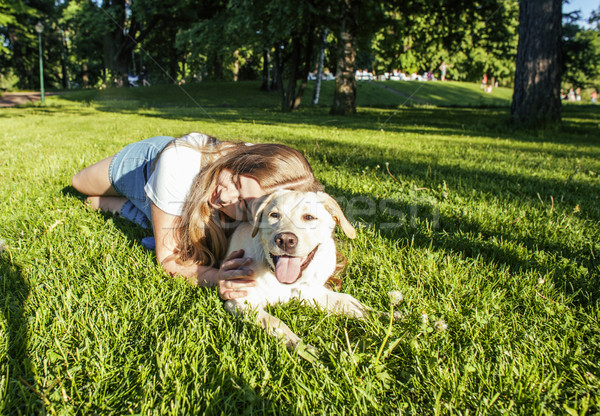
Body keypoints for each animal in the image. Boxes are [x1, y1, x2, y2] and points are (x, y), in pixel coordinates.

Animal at [223, 191, 368, 352]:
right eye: (274, 215)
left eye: (309, 217)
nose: (285, 240)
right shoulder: (241, 300)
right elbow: (275, 322)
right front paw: (301, 346)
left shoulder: (308, 292)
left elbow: (343, 301)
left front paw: (375, 315)